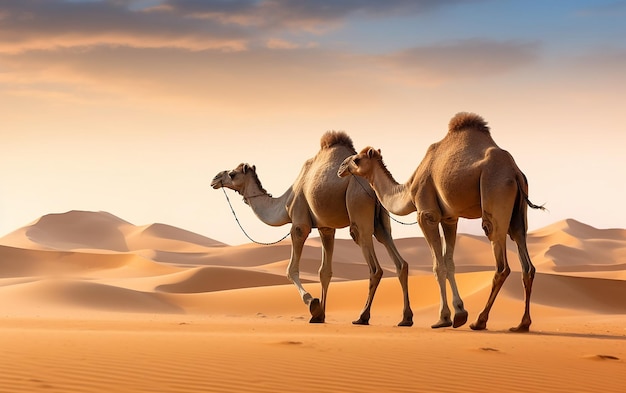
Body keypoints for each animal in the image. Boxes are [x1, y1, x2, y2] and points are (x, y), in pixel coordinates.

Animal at [212, 130, 412, 326]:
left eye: (232, 174)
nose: (215, 178)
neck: (284, 203)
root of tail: (372, 186)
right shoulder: (326, 228)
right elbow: (324, 272)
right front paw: (320, 316)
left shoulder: (299, 224)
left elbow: (291, 270)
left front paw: (313, 305)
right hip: (381, 221)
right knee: (398, 258)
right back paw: (405, 318)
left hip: (357, 204)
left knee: (373, 265)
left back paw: (363, 317)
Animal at [336, 112, 540, 330]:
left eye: (356, 159)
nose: (340, 168)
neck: (409, 189)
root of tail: (514, 172)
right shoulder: (449, 218)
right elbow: (449, 262)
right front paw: (459, 313)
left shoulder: (427, 215)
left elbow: (437, 265)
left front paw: (444, 318)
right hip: (519, 212)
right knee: (525, 258)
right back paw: (522, 324)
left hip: (495, 191)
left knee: (501, 262)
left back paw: (480, 321)